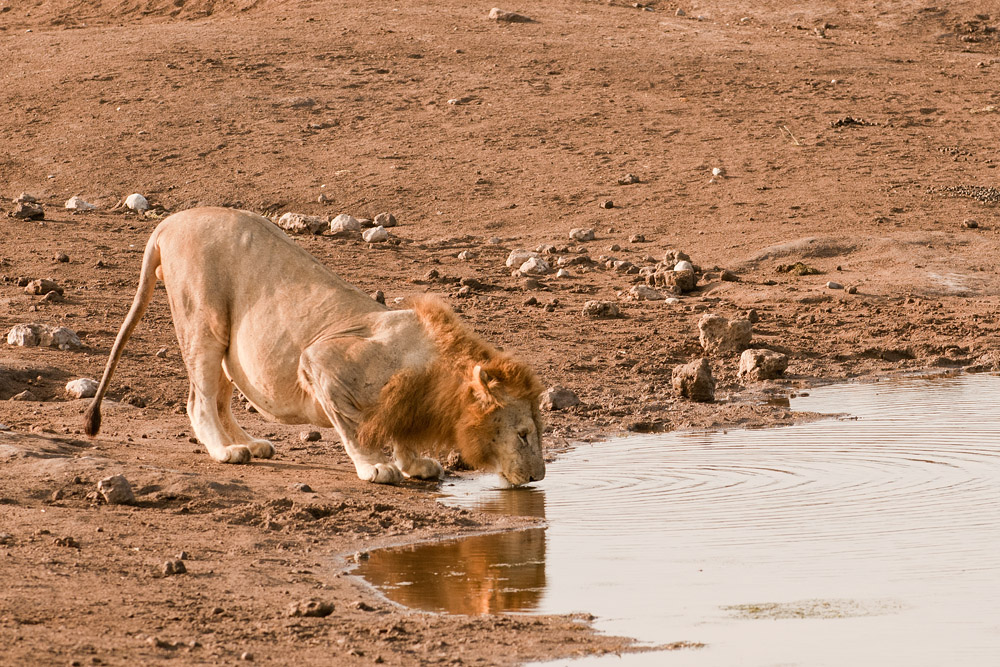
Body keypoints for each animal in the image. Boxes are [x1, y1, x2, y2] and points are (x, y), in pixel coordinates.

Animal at [85, 206, 548, 488]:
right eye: (524, 435)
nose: (539, 478)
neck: (439, 381)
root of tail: (168, 223)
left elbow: (400, 433)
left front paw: (414, 464)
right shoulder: (321, 360)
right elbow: (354, 428)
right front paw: (374, 466)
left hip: (229, 345)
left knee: (218, 399)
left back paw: (251, 444)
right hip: (203, 319)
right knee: (198, 401)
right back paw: (226, 451)